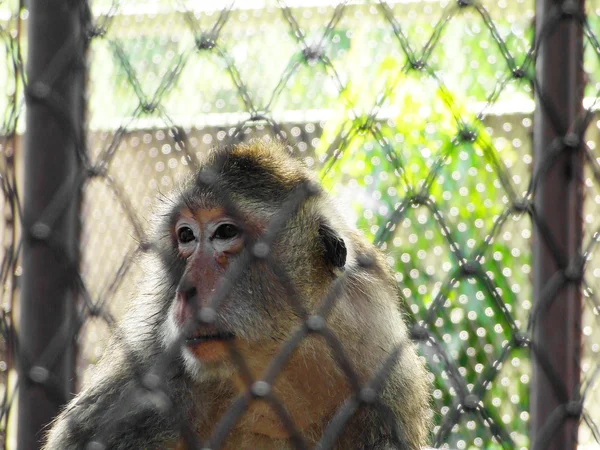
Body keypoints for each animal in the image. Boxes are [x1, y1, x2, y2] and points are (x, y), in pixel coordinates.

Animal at [43, 141, 432, 450]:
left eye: (225, 232)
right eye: (186, 236)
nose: (185, 290)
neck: (272, 368)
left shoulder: (382, 372)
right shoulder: (143, 385)